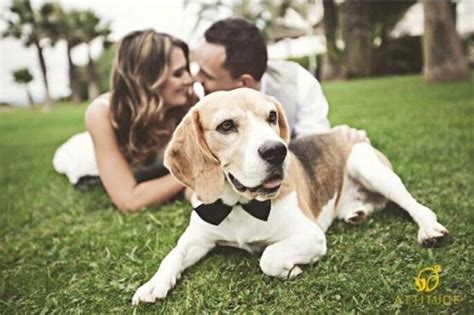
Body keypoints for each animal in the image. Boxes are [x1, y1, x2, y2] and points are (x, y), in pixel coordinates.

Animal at [132, 87, 448, 304]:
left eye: (271, 116)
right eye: (226, 126)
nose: (276, 151)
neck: (240, 206)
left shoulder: (311, 236)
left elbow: (268, 256)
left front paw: (291, 270)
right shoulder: (197, 238)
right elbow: (172, 255)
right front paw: (153, 284)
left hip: (367, 166)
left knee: (415, 206)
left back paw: (429, 229)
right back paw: (356, 213)